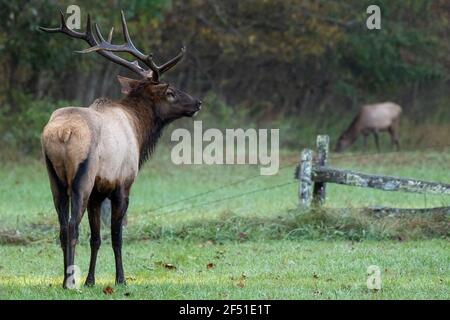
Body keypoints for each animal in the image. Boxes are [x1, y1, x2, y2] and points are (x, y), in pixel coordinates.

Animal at [39, 10, 201, 288]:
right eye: (169, 91)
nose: (197, 103)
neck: (139, 131)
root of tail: (62, 133)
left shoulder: (97, 194)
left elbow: (96, 238)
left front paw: (91, 280)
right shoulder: (122, 185)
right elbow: (116, 236)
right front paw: (121, 279)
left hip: (54, 178)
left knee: (61, 226)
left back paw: (66, 280)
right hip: (82, 177)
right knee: (71, 226)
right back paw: (70, 282)